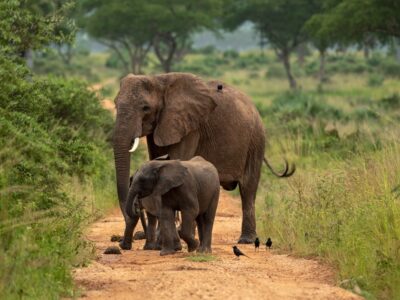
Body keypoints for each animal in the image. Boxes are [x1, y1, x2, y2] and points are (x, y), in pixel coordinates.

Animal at [112, 72, 294, 248]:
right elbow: (157, 159)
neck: (159, 79)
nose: (124, 243)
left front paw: (163, 239)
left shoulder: (189, 127)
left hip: (256, 140)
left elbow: (178, 158)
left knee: (248, 188)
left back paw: (246, 240)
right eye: (115, 105)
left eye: (145, 108)